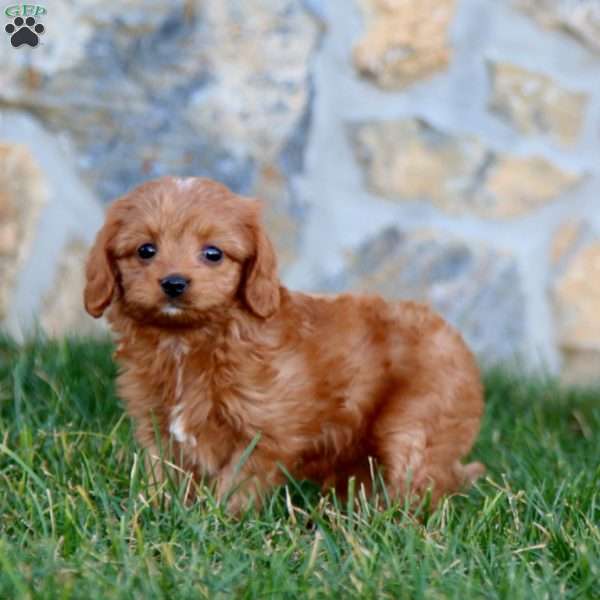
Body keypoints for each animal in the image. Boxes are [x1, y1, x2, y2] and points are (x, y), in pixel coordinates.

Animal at [84, 176, 486, 512]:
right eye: (145, 250)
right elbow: (165, 475)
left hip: (416, 424)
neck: (186, 341)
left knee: (417, 484)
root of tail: (460, 343)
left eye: (213, 253)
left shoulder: (266, 435)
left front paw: (216, 520)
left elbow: (236, 483)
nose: (174, 283)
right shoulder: (157, 425)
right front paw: (158, 510)